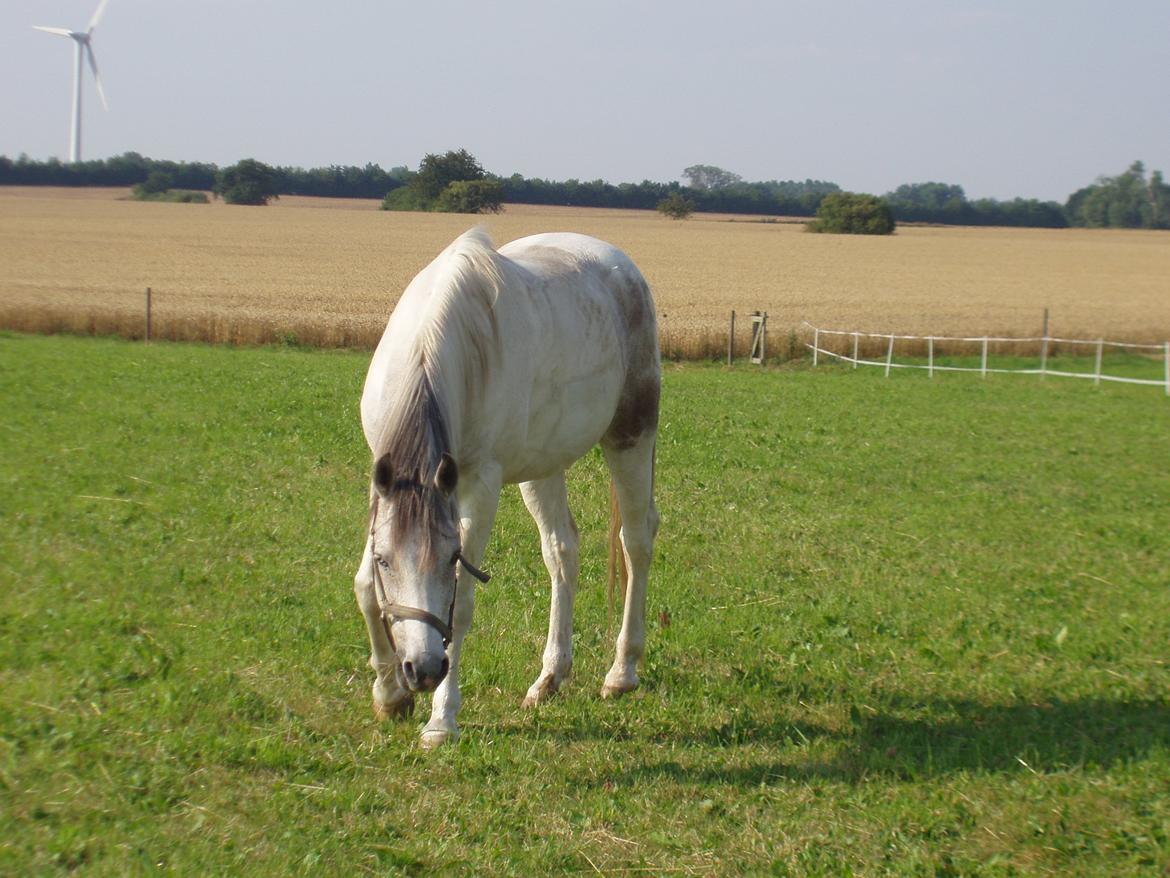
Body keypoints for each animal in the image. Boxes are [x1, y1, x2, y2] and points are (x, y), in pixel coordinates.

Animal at [351, 228, 664, 749]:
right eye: (384, 561)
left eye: (450, 558)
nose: (422, 670)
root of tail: (624, 269)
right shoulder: (385, 480)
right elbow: (364, 589)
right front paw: (389, 696)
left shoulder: (479, 486)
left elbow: (460, 606)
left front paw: (442, 719)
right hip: (543, 464)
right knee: (562, 550)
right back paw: (550, 678)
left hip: (631, 436)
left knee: (636, 542)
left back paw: (622, 672)